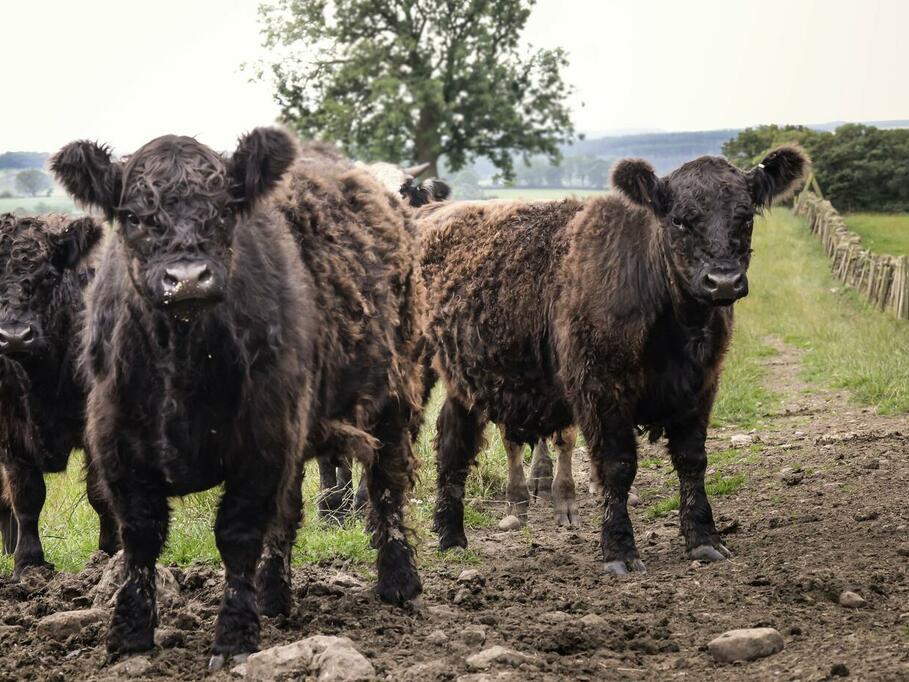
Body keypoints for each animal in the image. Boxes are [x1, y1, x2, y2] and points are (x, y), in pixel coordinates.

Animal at [0, 211, 118, 572]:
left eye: (48, 277)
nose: (14, 336)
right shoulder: (10, 432)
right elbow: (26, 494)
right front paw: (28, 562)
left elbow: (98, 492)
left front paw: (108, 555)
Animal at [52, 129, 426, 664]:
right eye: (134, 217)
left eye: (225, 211)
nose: (187, 278)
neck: (183, 358)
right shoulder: (117, 445)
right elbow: (140, 537)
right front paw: (129, 636)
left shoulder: (263, 444)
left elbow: (238, 534)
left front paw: (234, 637)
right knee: (289, 512)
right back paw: (273, 593)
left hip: (395, 393)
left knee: (387, 484)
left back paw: (399, 581)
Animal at [418, 146, 808, 572]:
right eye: (679, 219)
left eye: (746, 216)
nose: (722, 281)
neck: (676, 326)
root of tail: (432, 209)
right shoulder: (601, 386)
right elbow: (616, 466)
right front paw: (620, 549)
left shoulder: (701, 384)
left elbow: (693, 460)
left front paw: (704, 538)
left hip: (463, 379)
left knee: (453, 441)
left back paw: (452, 536)